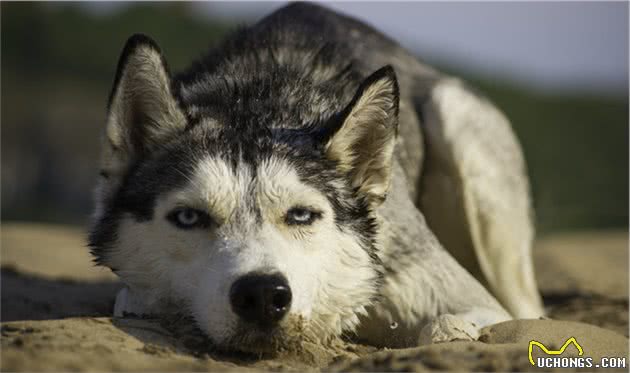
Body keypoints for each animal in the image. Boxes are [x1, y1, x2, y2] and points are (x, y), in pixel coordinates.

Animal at [90, 3, 548, 352]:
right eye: (188, 218)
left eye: (301, 215)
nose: (262, 295)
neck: (259, 96)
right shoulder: (135, 293)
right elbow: (135, 300)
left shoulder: (465, 298)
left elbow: (445, 329)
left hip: (457, 123)